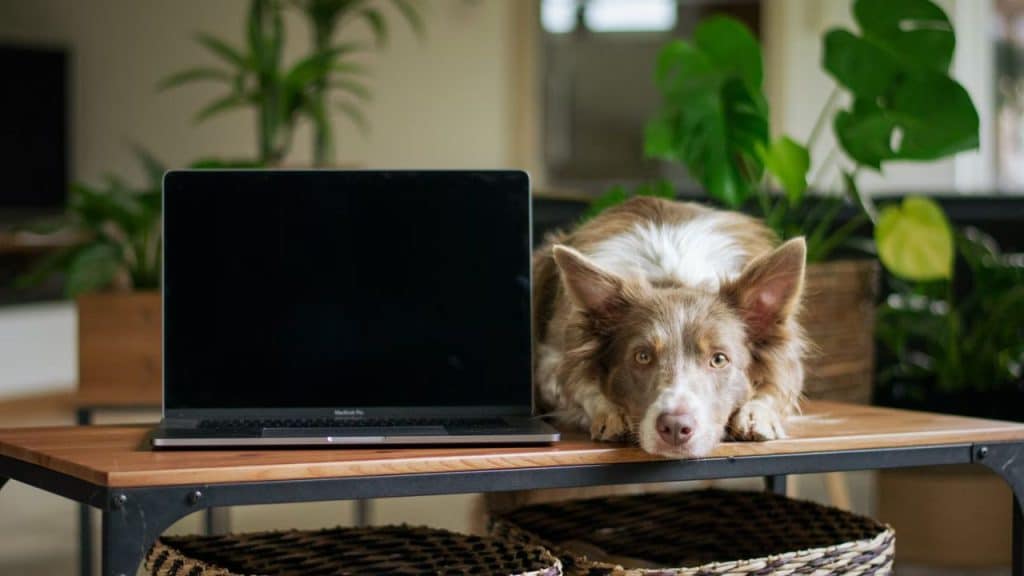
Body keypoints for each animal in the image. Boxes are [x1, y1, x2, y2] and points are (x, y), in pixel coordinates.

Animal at [532, 196, 802, 457]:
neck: (673, 281)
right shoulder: (551, 361)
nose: (675, 427)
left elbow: (777, 387)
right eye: (642, 356)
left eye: (719, 359)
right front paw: (611, 412)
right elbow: (578, 386)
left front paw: (756, 414)